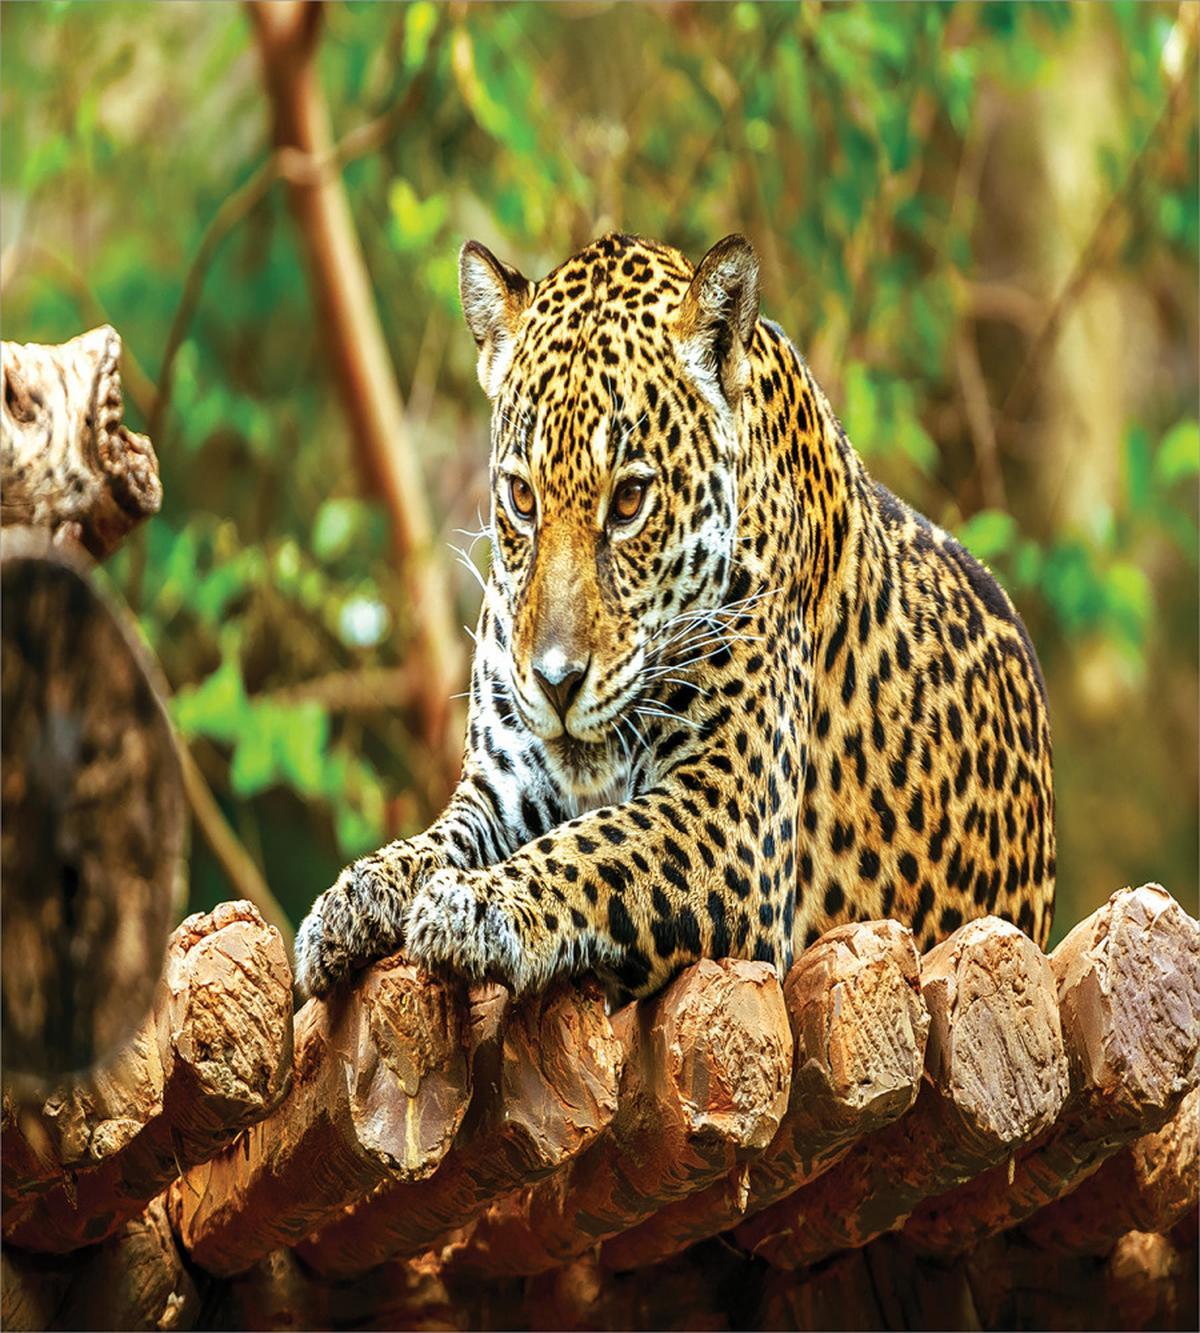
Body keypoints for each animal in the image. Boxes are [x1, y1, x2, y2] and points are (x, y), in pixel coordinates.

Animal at [294, 231, 1054, 1005]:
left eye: (630, 500)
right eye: (521, 497)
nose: (556, 682)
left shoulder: (730, 819)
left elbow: (593, 847)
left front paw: (474, 905)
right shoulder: (503, 788)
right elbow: (436, 842)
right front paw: (353, 897)